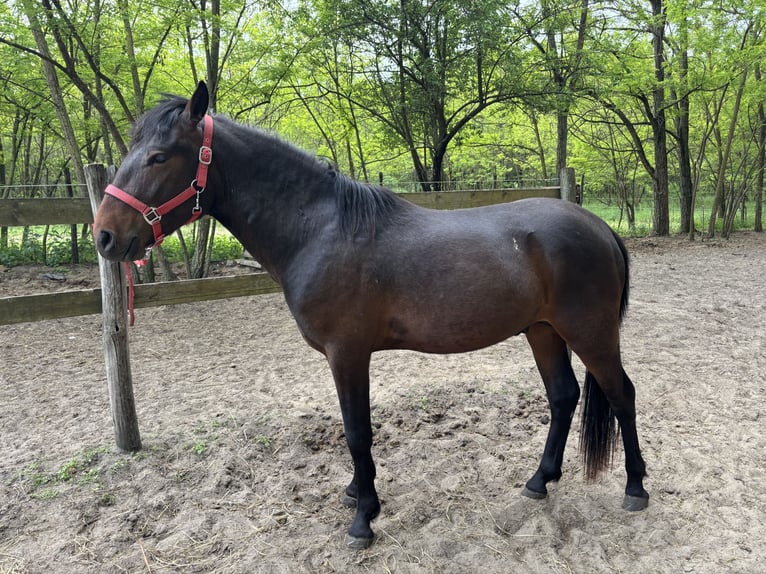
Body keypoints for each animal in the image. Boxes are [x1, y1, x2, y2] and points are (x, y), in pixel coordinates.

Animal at [93, 81, 649, 549]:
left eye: (158, 156)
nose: (105, 236)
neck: (321, 229)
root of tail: (598, 226)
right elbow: (351, 431)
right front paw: (358, 494)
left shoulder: (348, 354)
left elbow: (357, 431)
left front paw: (362, 519)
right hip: (543, 331)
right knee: (564, 396)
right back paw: (539, 481)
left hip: (590, 333)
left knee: (622, 394)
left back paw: (636, 488)